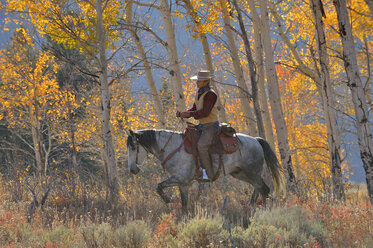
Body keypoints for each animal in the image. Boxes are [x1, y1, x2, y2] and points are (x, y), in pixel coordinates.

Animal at [124, 129, 282, 212]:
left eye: (133, 147)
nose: (132, 169)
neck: (173, 148)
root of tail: (256, 140)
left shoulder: (180, 179)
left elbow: (159, 186)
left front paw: (169, 199)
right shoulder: (183, 184)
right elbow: (184, 203)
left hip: (251, 173)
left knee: (264, 189)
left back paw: (263, 212)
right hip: (241, 174)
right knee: (259, 189)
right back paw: (251, 208)